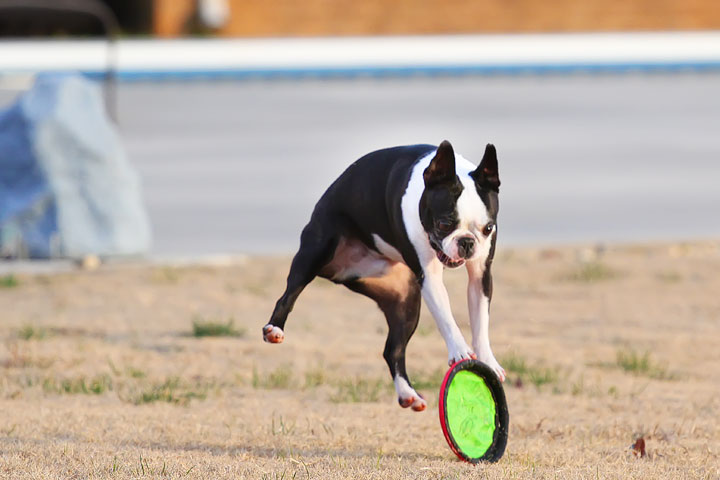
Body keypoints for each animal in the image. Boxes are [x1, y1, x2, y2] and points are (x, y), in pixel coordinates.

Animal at [262, 141, 504, 410]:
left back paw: (408, 394)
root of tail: (340, 272)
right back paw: (274, 329)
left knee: (393, 350)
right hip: (317, 250)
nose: (467, 243)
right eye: (444, 224)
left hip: (405, 300)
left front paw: (488, 360)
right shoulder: (429, 278)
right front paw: (459, 350)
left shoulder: (481, 277)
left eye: (488, 228)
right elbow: (446, 318)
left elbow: (480, 319)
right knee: (288, 294)